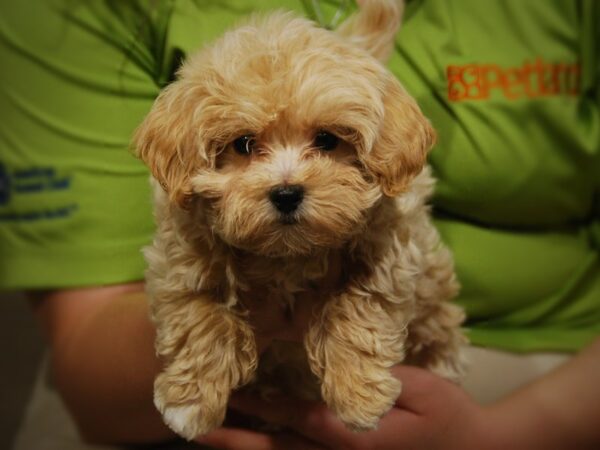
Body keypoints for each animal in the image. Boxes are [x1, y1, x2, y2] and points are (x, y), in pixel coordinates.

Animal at [134, 0, 466, 440]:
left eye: (327, 140)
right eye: (243, 144)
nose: (287, 193)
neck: (287, 255)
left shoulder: (390, 245)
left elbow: (360, 302)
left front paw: (358, 394)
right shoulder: (180, 254)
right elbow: (198, 312)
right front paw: (190, 402)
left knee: (438, 317)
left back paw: (442, 363)